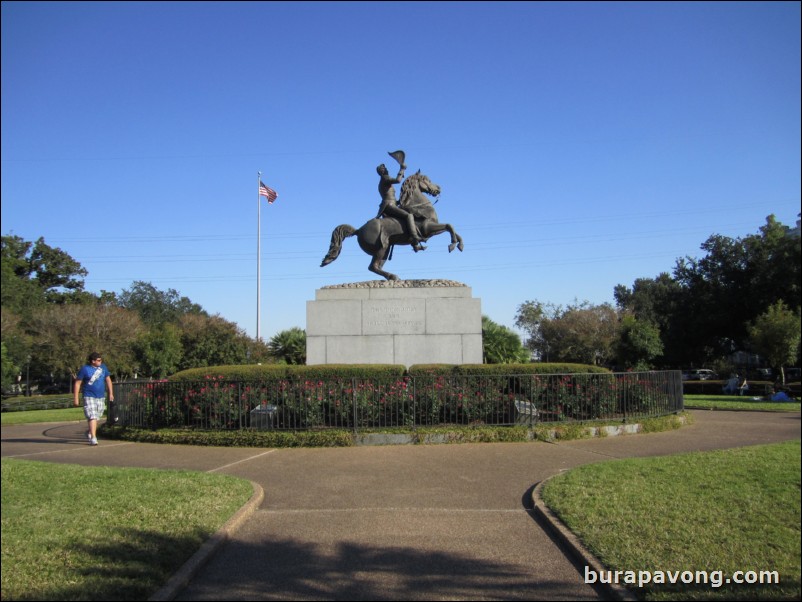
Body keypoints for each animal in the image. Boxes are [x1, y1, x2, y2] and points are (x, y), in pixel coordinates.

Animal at [320, 170, 462, 280]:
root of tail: (359, 230)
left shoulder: (433, 229)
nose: (438, 189)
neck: (421, 207)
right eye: (428, 180)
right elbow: (449, 226)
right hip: (381, 248)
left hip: (386, 249)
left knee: (375, 266)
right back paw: (393, 276)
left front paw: (460, 245)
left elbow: (453, 229)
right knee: (373, 266)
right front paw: (452, 245)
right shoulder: (427, 228)